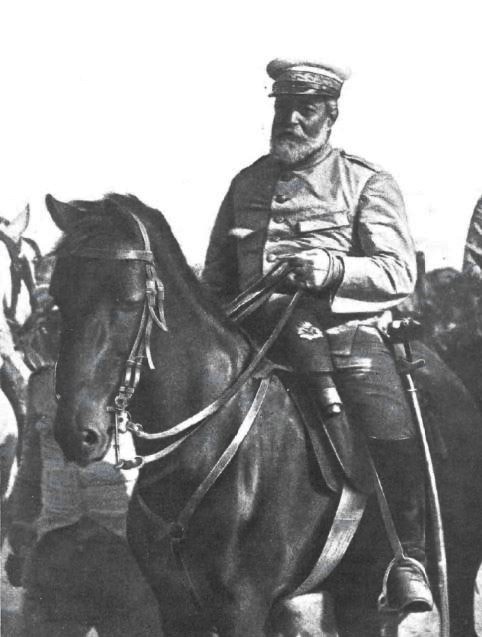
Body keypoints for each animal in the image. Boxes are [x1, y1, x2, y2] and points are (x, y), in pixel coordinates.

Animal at [45, 192, 482, 637]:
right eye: (60, 299)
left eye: (128, 300)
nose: (77, 433)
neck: (204, 446)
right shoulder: (176, 606)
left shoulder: (243, 606)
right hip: (354, 591)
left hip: (459, 571)